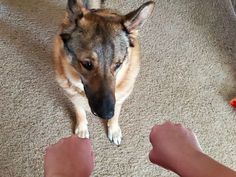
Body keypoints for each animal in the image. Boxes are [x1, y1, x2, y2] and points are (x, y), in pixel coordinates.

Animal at [54, 0, 155, 145]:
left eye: (118, 64)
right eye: (87, 64)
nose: (106, 114)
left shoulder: (118, 100)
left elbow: (116, 115)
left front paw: (114, 129)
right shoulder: (73, 96)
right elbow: (80, 111)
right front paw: (82, 127)